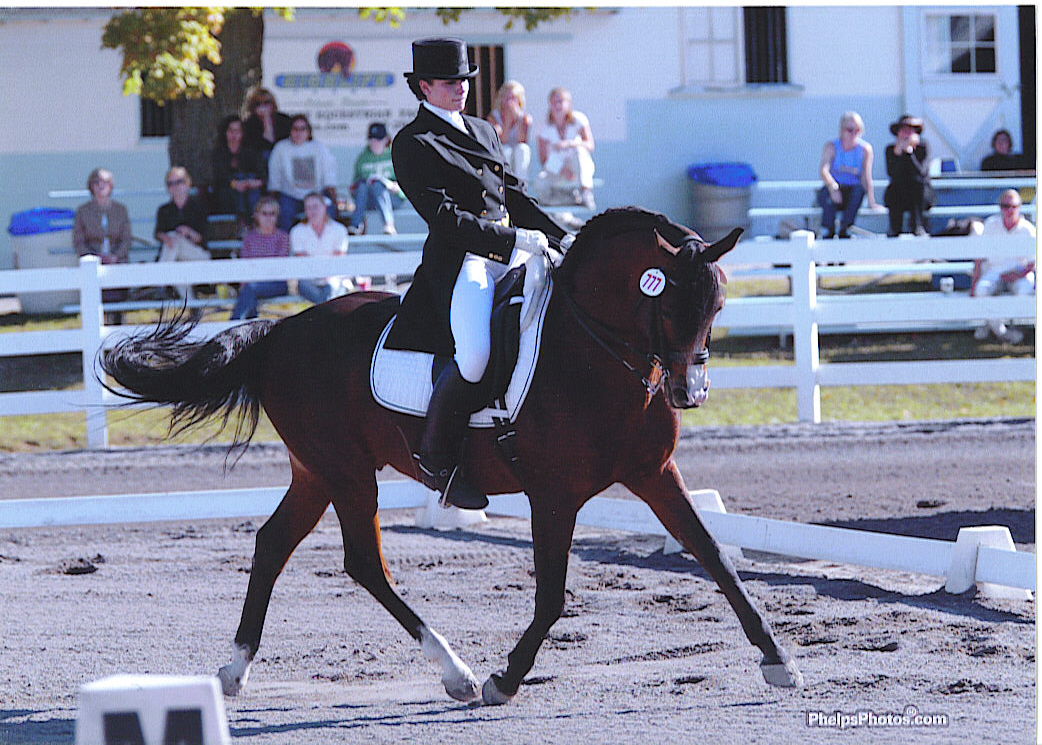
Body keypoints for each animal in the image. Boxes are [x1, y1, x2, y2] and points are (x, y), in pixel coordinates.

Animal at [98, 206, 803, 705]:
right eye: (666, 299)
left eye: (716, 303)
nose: (690, 391)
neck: (593, 351)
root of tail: (280, 330)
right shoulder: (553, 496)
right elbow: (552, 597)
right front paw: (505, 680)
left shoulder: (653, 474)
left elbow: (714, 556)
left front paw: (779, 661)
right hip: (346, 470)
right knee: (363, 563)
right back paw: (458, 673)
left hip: (317, 471)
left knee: (274, 544)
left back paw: (236, 670)